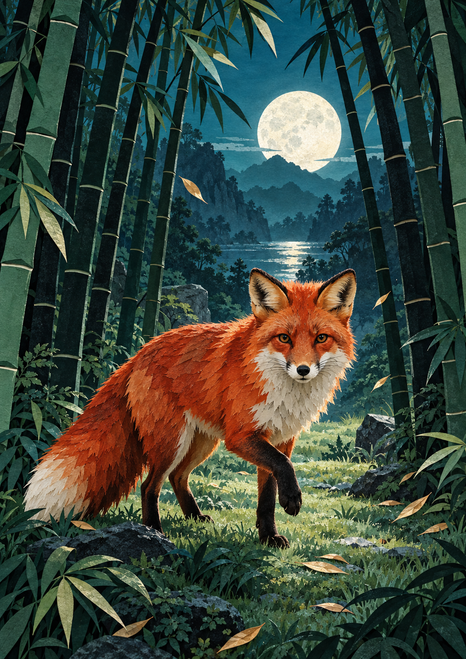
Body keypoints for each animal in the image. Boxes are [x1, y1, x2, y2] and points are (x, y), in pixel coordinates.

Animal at [24, 267, 356, 548]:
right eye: (284, 338)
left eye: (321, 338)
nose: (303, 370)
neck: (282, 392)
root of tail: (139, 353)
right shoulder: (242, 436)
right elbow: (284, 467)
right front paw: (292, 500)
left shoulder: (280, 439)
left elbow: (267, 496)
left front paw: (268, 537)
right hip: (171, 442)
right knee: (149, 485)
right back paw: (154, 531)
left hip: (201, 443)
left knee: (178, 477)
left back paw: (194, 517)